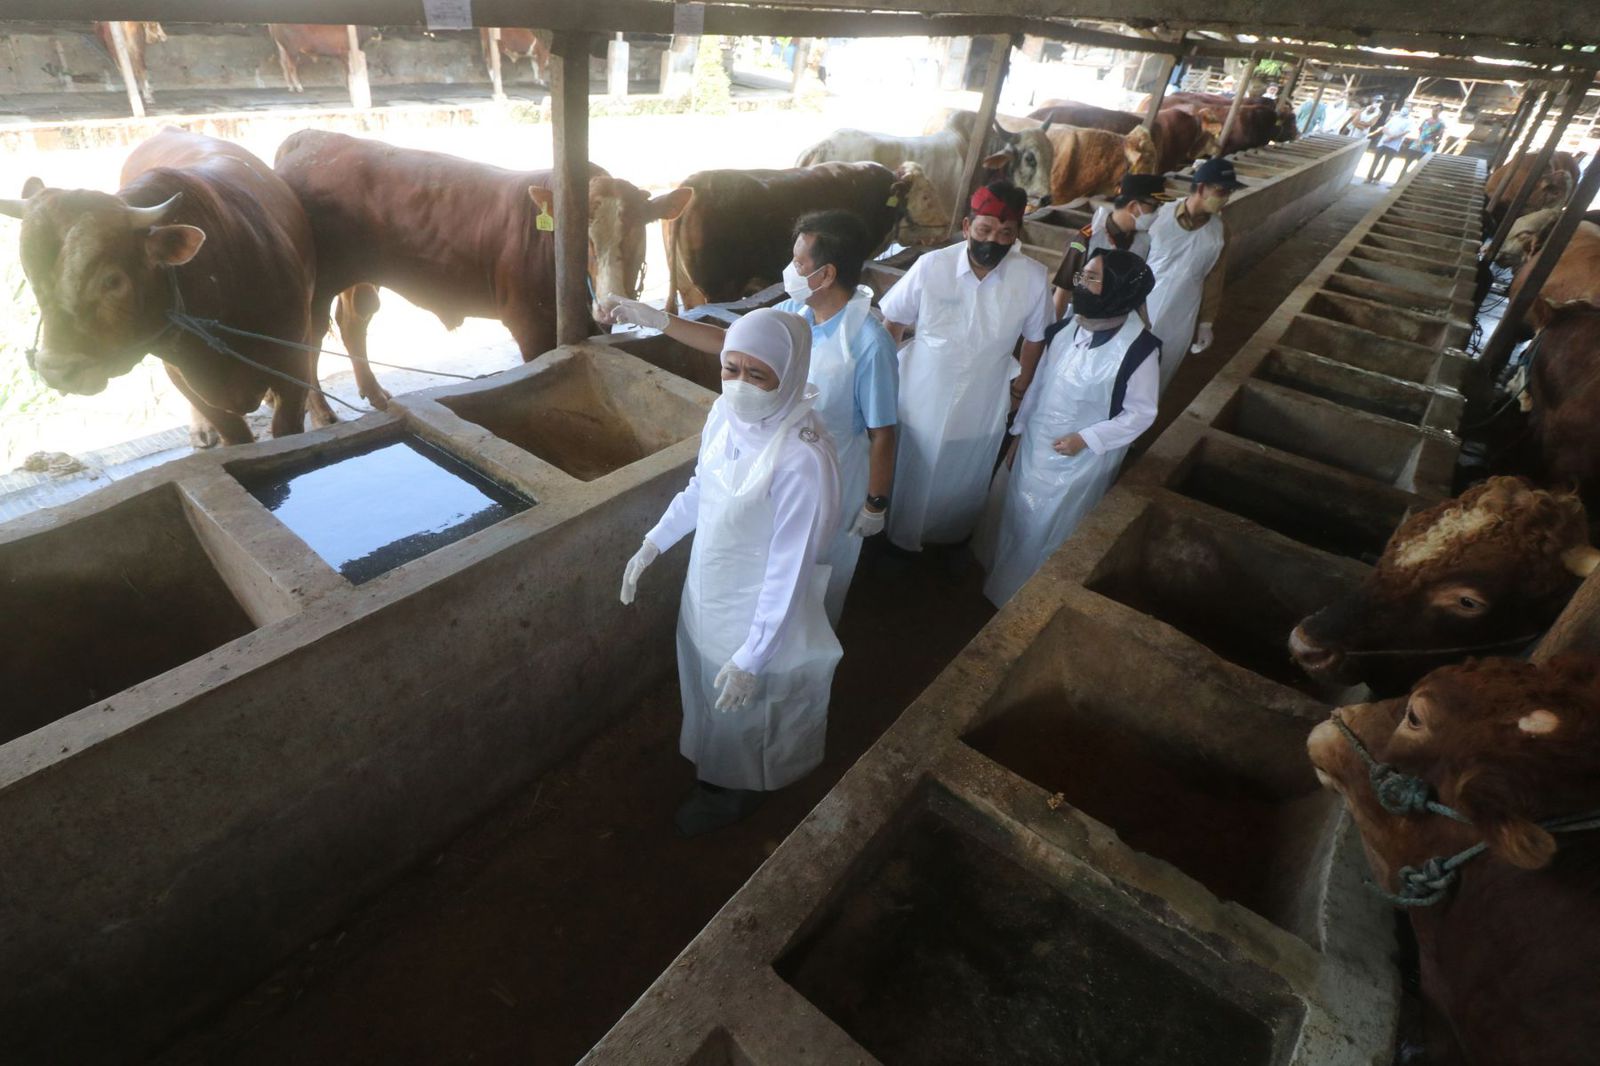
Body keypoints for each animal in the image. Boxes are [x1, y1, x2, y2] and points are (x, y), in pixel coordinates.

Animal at [275, 129, 688, 382]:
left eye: (636, 233)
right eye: (580, 239)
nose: (607, 304)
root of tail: (309, 136)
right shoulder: (529, 324)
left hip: (359, 276)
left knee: (353, 323)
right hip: (317, 288)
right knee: (309, 342)